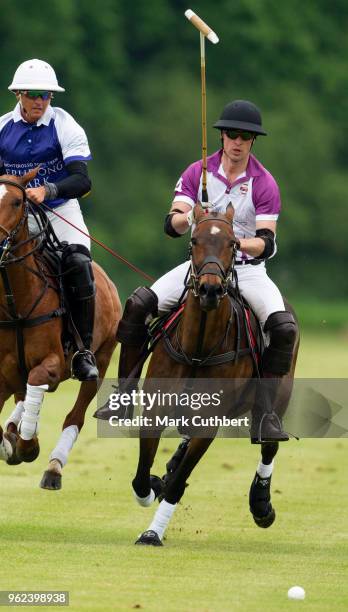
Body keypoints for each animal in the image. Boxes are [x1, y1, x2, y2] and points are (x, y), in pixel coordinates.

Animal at [0, 171, 121, 488]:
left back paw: (52, 467)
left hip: (102, 359)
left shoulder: (52, 362)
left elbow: (38, 380)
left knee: (74, 416)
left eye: (17, 201)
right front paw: (12, 442)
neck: (15, 306)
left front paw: (28, 445)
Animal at [130, 203, 300, 548]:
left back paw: (261, 505)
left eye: (234, 243)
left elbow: (179, 484)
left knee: (269, 444)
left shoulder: (209, 420)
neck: (199, 346)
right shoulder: (156, 408)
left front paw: (153, 533)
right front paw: (153, 484)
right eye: (194, 240)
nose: (209, 289)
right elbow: (142, 475)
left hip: (277, 397)